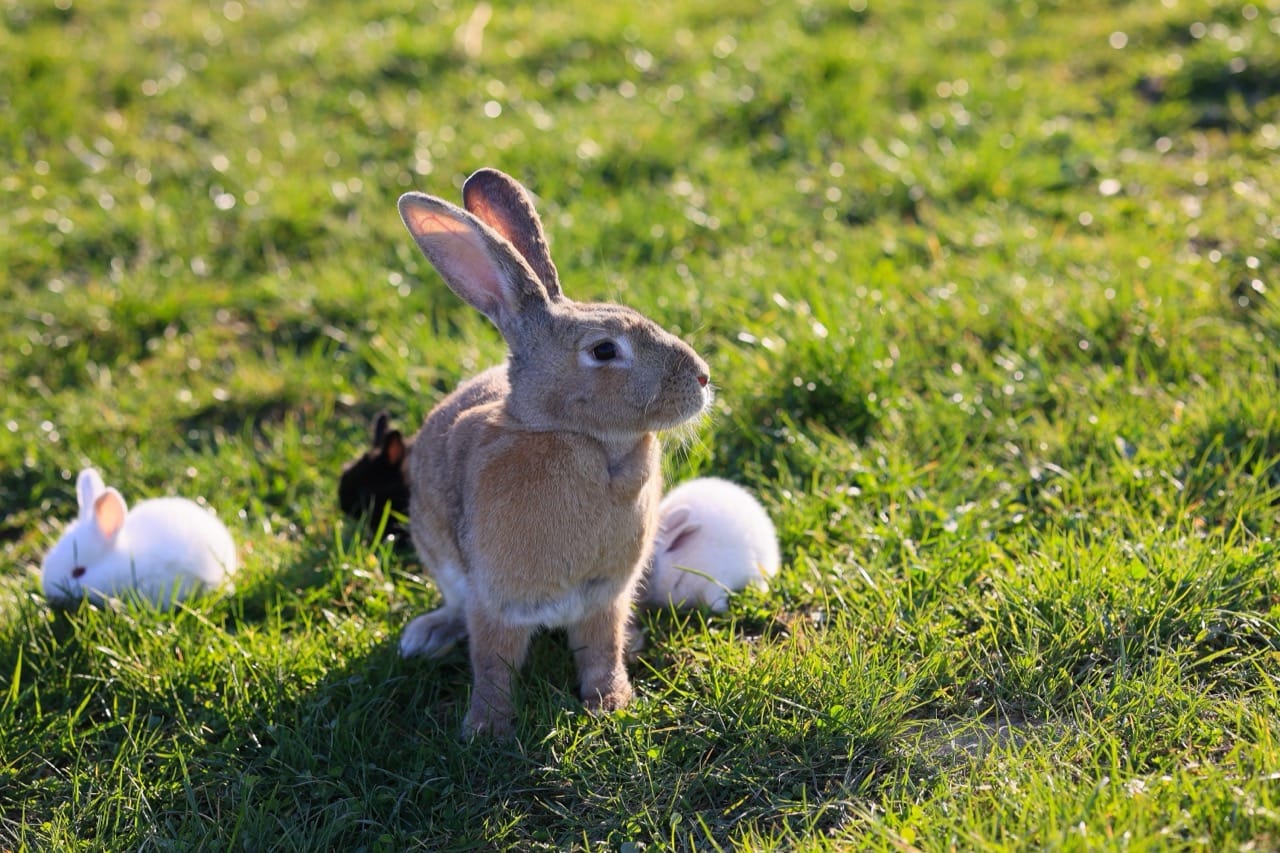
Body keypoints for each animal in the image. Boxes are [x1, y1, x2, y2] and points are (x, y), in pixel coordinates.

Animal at [395, 167, 711, 737]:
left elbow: (600, 651)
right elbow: (493, 663)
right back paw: (426, 636)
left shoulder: (605, 596)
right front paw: (487, 729)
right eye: (604, 350)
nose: (703, 378)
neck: (584, 441)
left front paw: (612, 702)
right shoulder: (495, 601)